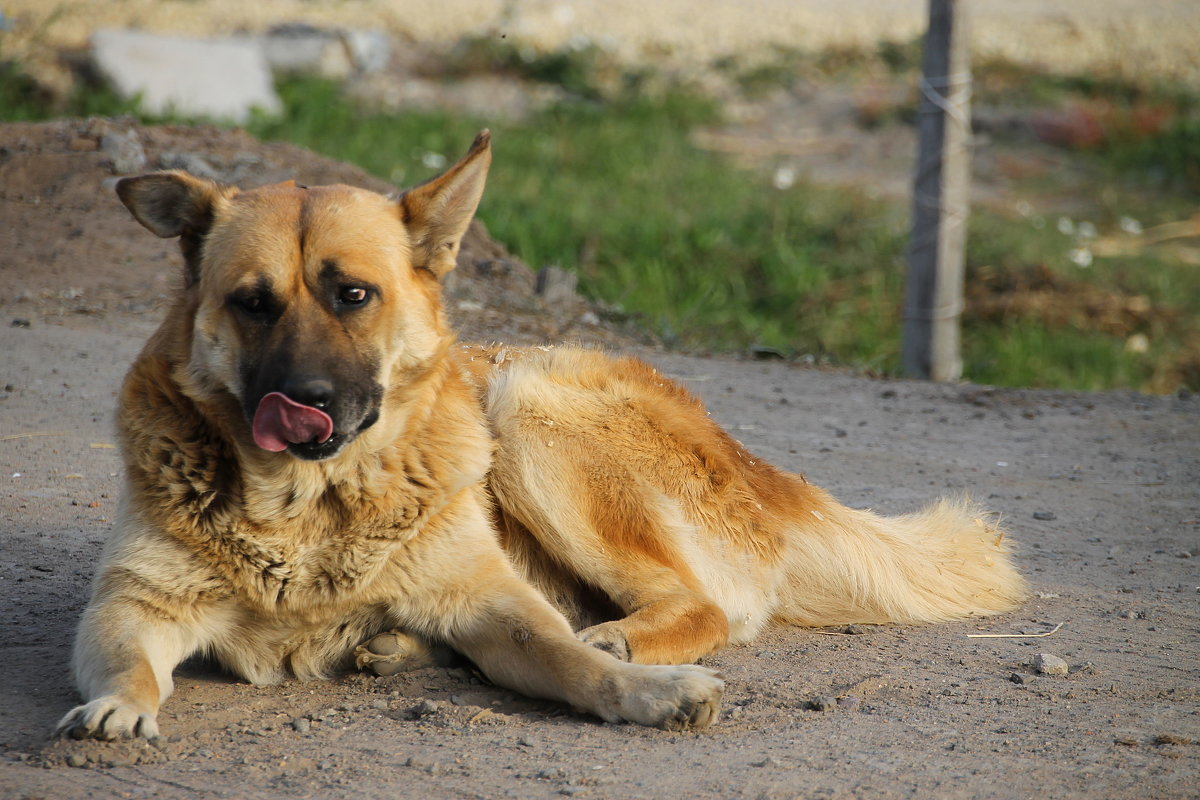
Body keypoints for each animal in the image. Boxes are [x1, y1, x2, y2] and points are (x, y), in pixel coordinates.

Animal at [56, 131, 1027, 738]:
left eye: (352, 295)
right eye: (251, 303)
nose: (305, 402)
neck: (306, 509)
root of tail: (752, 464)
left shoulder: (498, 601)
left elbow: (566, 658)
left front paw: (643, 688)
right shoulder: (130, 606)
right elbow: (129, 665)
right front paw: (119, 709)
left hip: (524, 409)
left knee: (700, 606)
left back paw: (615, 636)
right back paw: (402, 644)